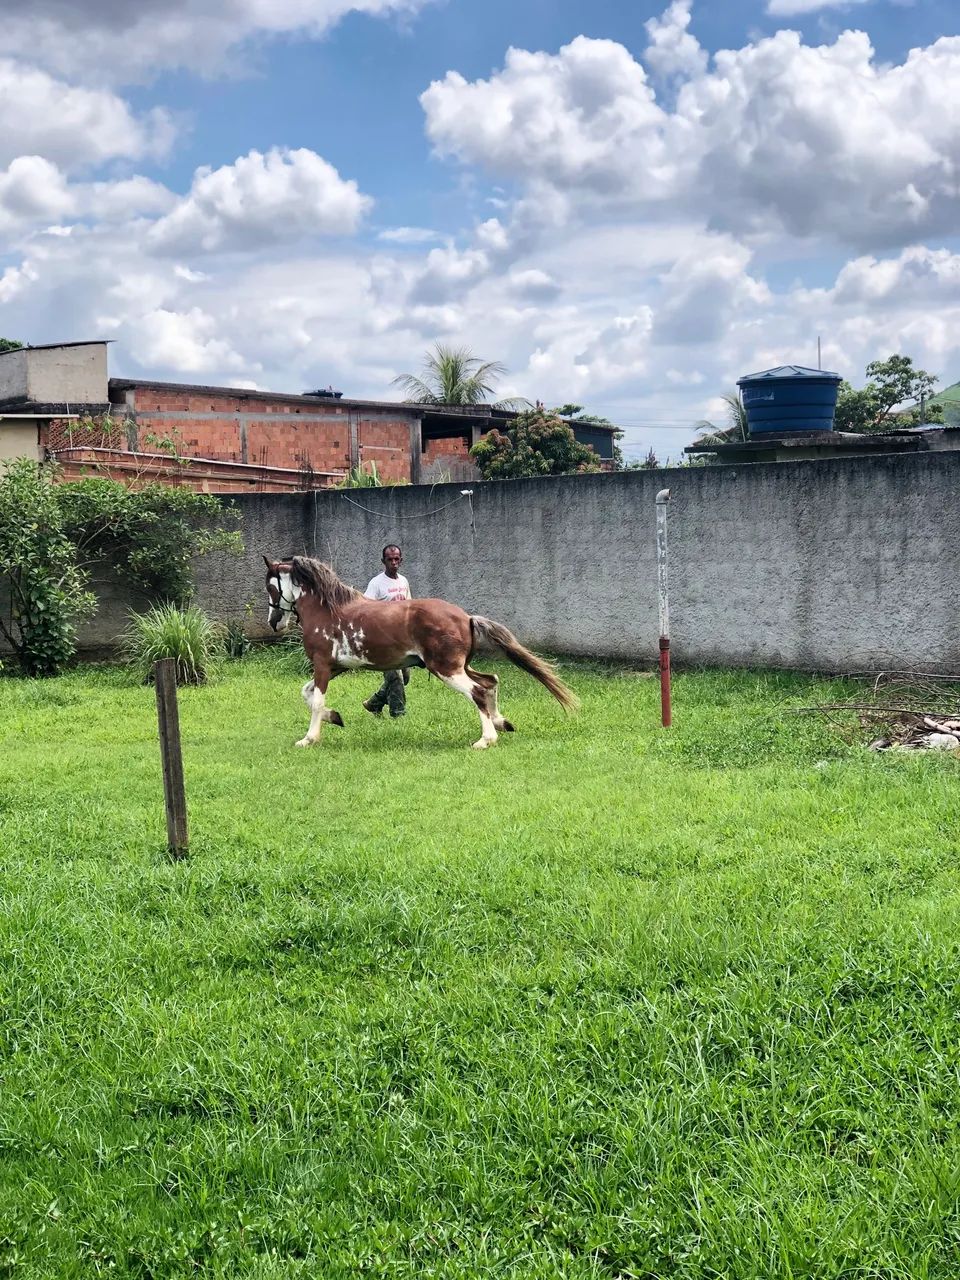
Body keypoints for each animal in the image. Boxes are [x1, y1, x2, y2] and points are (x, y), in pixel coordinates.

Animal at [263, 555, 578, 750]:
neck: (327, 610)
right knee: (491, 681)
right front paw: (336, 717)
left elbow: (315, 701)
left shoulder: (322, 665)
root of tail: (466, 617)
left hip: (447, 669)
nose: (274, 622)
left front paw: (309, 738)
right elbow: (306, 693)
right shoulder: (337, 666)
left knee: (477, 691)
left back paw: (485, 740)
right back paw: (501, 723)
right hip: (459, 666)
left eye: (271, 587)